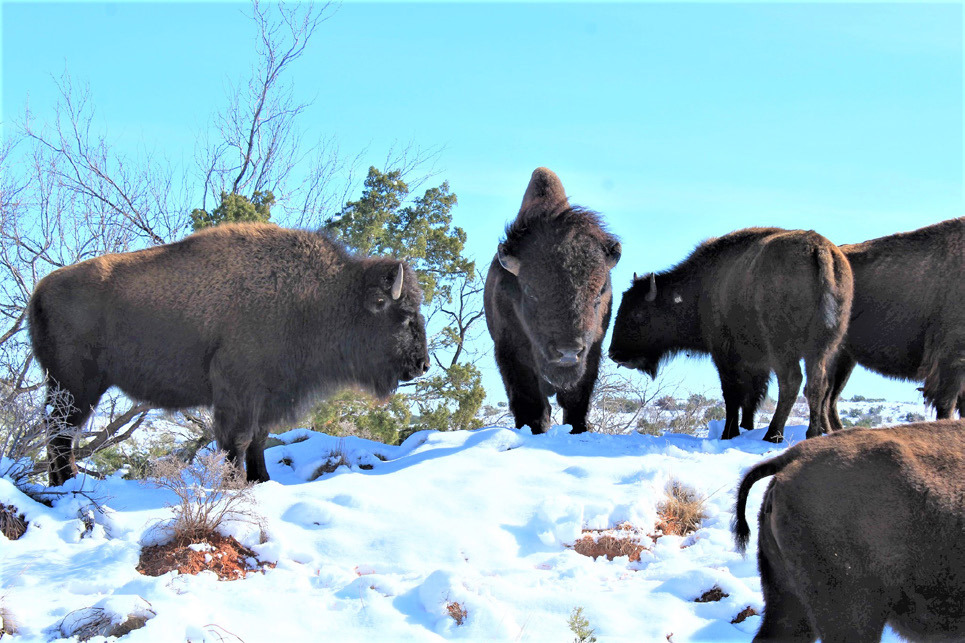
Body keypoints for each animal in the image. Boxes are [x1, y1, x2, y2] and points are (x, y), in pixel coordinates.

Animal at [29, 223, 430, 486]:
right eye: (402, 314)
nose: (423, 364)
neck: (321, 297)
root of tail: (40, 290)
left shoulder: (267, 396)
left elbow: (259, 439)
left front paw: (262, 480)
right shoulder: (238, 392)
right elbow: (238, 439)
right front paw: (235, 483)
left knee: (58, 434)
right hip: (75, 387)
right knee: (60, 434)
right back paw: (66, 484)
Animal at [484, 167, 621, 433]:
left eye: (598, 293)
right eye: (530, 291)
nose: (568, 352)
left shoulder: (592, 352)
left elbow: (577, 400)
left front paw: (579, 429)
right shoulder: (511, 352)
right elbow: (531, 402)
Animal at [609, 228, 853, 441]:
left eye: (638, 313)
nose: (614, 354)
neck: (701, 287)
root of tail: (818, 249)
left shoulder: (725, 356)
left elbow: (732, 393)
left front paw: (729, 433)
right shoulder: (757, 364)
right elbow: (751, 398)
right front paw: (745, 427)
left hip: (783, 350)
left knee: (791, 382)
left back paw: (773, 435)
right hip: (821, 350)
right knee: (817, 384)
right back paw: (812, 434)